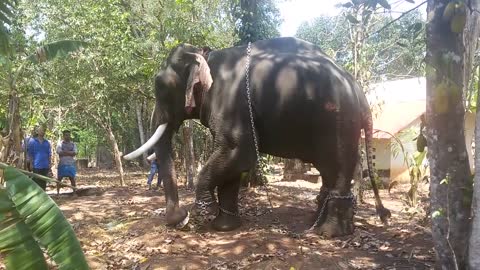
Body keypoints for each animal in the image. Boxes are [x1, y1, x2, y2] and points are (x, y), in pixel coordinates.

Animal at [124, 36, 390, 236]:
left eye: (161, 86)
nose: (179, 219)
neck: (207, 55)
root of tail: (359, 91)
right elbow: (231, 163)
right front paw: (224, 227)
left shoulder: (232, 103)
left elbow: (238, 152)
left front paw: (202, 216)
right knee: (329, 168)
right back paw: (316, 222)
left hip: (339, 121)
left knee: (340, 165)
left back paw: (329, 232)